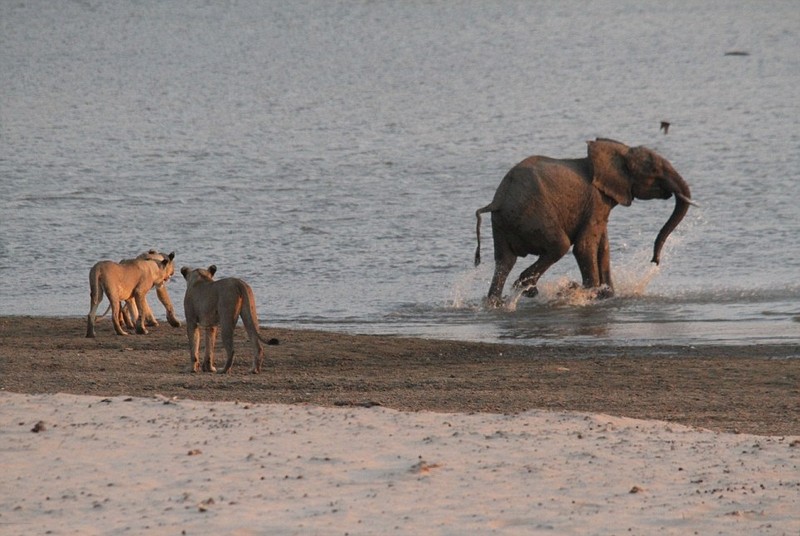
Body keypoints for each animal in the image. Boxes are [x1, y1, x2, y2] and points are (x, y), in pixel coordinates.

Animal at [476, 138, 692, 306]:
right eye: (654, 170)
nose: (655, 261)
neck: (618, 151)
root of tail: (498, 200)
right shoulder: (596, 200)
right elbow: (584, 246)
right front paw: (590, 294)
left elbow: (603, 248)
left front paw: (607, 295)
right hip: (532, 216)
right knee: (559, 246)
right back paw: (527, 289)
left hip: (502, 224)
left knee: (504, 260)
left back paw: (496, 302)